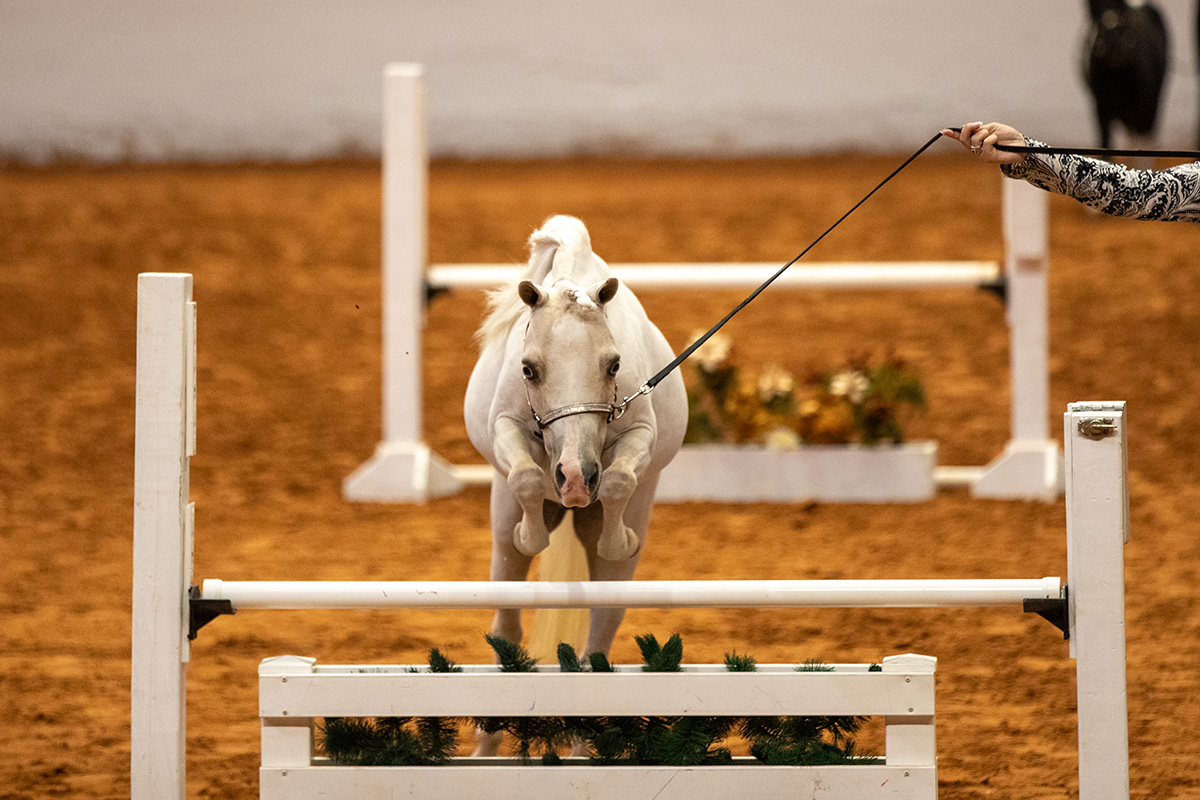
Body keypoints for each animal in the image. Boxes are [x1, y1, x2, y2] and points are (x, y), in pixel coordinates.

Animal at [463, 214, 686, 662]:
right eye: (528, 369)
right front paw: (529, 535)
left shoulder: (640, 435)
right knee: (506, 620)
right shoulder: (505, 428)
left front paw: (621, 540)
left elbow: (619, 481)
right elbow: (527, 479)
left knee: (603, 624)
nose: (576, 478)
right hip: (502, 525)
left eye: (614, 365)